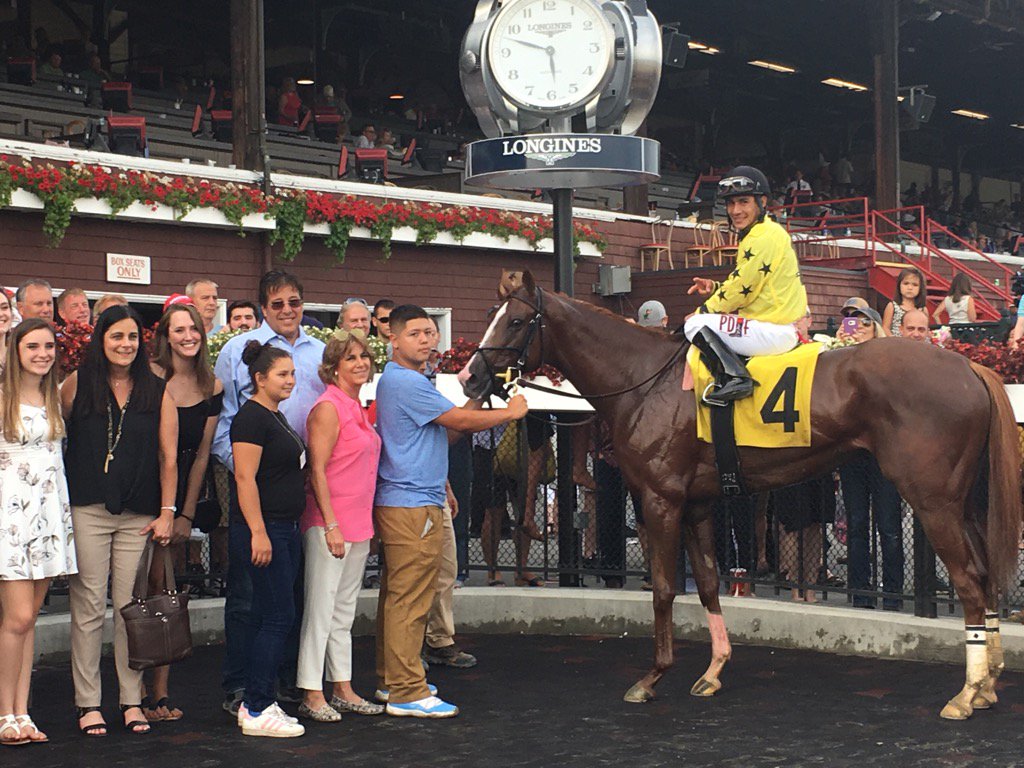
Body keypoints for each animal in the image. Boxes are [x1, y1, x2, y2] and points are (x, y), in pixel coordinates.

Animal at [466, 274, 1024, 724]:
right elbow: (710, 583)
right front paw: (713, 671)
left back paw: (966, 693)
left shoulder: (659, 500)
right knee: (984, 577)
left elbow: (664, 589)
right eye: (492, 316)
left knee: (969, 582)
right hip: (966, 503)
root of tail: (971, 369)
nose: (471, 377)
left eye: (515, 320)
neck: (643, 381)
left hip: (932, 501)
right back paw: (988, 685)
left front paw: (652, 678)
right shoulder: (697, 503)